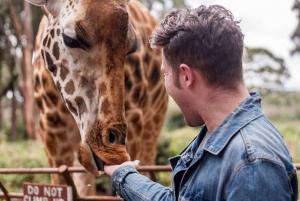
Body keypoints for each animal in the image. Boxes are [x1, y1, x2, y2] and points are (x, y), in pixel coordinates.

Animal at [29, 0, 168, 196]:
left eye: (132, 46)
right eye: (70, 39)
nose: (113, 154)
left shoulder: (135, 117)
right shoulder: (50, 128)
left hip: (154, 122)